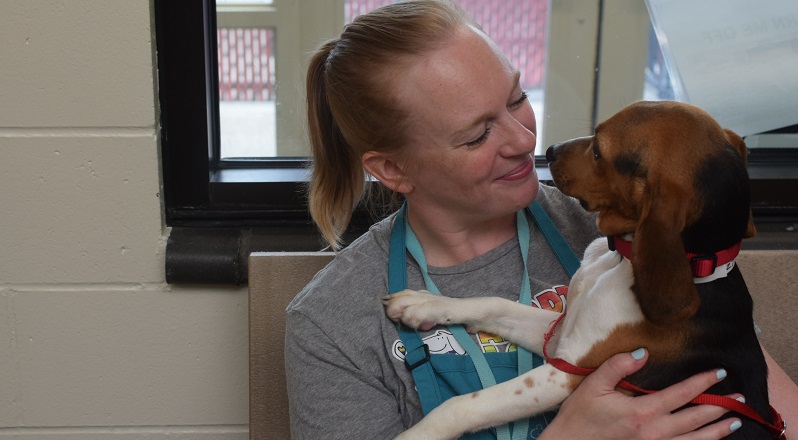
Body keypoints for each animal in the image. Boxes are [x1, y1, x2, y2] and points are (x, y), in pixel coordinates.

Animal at [384, 100, 780, 440]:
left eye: (599, 151)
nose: (550, 150)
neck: (621, 262)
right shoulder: (561, 339)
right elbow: (494, 304)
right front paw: (426, 304)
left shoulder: (569, 372)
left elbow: (463, 406)